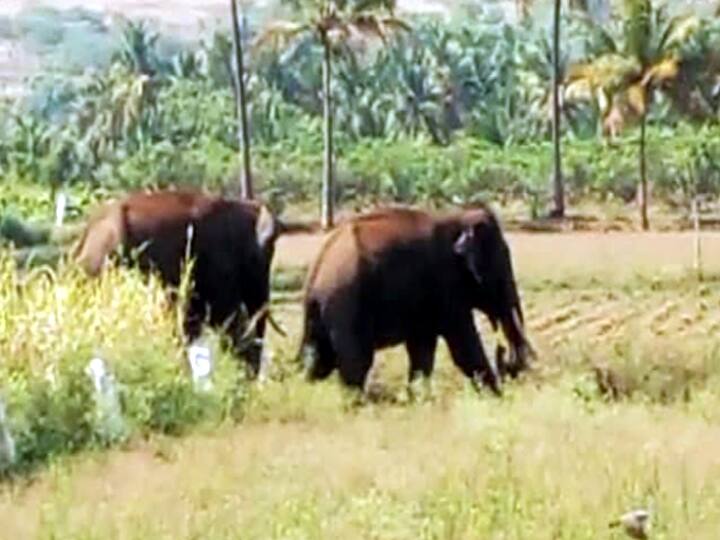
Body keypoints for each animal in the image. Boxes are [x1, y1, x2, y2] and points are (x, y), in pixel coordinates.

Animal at [298, 205, 536, 394]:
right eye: (502, 268)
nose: (508, 361)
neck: (457, 216)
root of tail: (315, 272)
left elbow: (422, 349)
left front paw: (418, 399)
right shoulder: (445, 283)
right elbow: (463, 345)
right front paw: (498, 397)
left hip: (324, 311)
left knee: (318, 358)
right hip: (347, 304)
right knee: (355, 362)